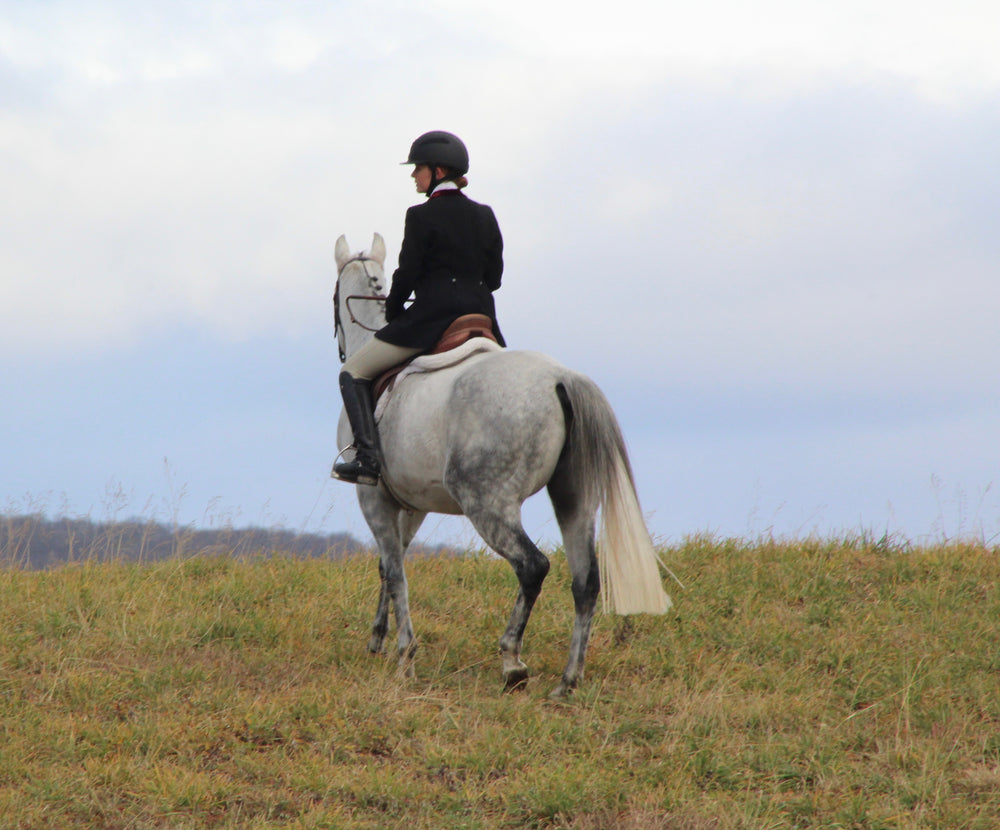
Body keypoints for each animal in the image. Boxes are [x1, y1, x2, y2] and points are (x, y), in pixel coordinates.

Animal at [333, 233, 671, 698]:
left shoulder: (373, 497)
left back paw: (512, 663)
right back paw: (568, 682)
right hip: (574, 498)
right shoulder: (412, 504)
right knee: (585, 581)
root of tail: (560, 377)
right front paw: (378, 640)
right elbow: (390, 563)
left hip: (487, 502)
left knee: (532, 566)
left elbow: (396, 571)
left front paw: (404, 658)